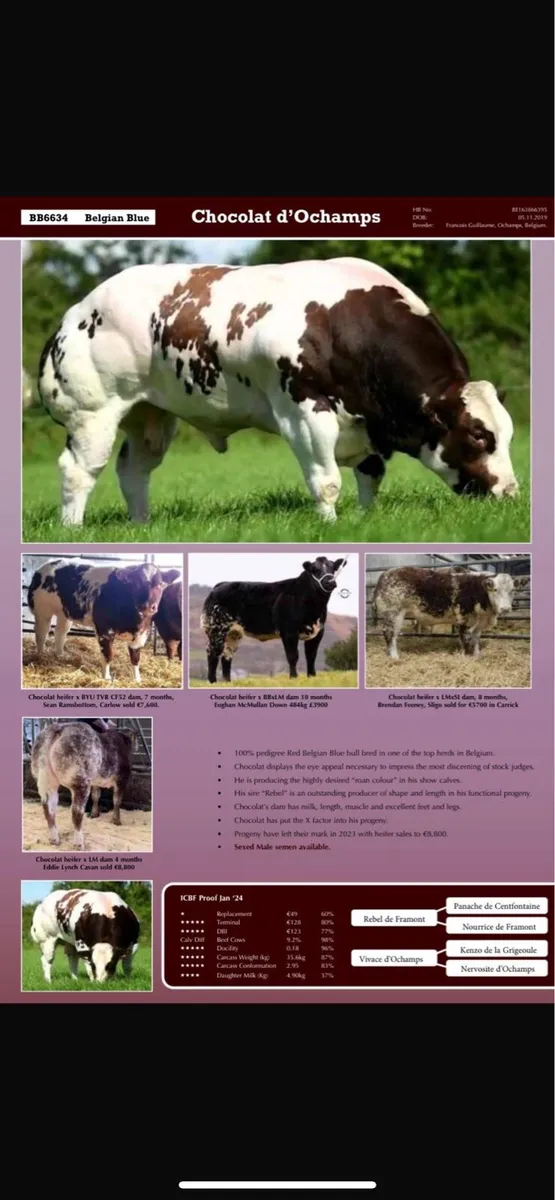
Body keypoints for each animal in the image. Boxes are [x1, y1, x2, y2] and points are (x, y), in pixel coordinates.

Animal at [27, 558, 180, 683]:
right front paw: (106, 677)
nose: (147, 606)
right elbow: (108, 655)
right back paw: (41, 656)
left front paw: (137, 679)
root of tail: (48, 565)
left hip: (64, 613)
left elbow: (136, 658)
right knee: (41, 633)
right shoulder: (105, 630)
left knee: (60, 632)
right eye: (136, 584)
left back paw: (60, 655)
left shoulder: (142, 634)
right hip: (43, 610)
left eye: (161, 584)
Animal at [30, 720, 136, 849]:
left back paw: (55, 839)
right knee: (76, 812)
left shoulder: (95, 781)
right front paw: (116, 821)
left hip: (46, 780)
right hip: (80, 781)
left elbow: (96, 796)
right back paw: (79, 843)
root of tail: (59, 728)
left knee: (48, 809)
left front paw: (95, 813)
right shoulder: (122, 779)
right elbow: (117, 801)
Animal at [36, 259, 519, 528]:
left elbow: (371, 475)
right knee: (79, 470)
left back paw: (141, 525)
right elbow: (327, 482)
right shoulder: (305, 413)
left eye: (507, 435)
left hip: (151, 415)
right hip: (93, 413)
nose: (511, 495)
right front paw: (332, 527)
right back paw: (73, 528)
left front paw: (366, 521)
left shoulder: (366, 423)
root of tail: (78, 310)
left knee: (134, 469)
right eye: (478, 436)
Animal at [201, 555, 347, 683]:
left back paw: (227, 682)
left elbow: (311, 656)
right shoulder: (289, 631)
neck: (315, 608)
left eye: (333, 569)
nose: (330, 582)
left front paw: (312, 677)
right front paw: (294, 678)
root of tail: (221, 585)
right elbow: (293, 656)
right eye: (315, 570)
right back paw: (212, 681)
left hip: (233, 633)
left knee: (227, 655)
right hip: (216, 629)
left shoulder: (318, 631)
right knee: (213, 652)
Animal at [373, 566, 527, 660]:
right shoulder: (464, 618)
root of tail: (385, 574)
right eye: (495, 589)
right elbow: (465, 639)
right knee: (390, 634)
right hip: (392, 613)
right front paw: (465, 656)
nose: (505, 608)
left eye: (512, 590)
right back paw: (394, 656)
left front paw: (476, 654)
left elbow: (476, 638)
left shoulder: (480, 622)